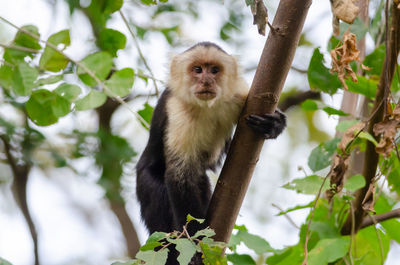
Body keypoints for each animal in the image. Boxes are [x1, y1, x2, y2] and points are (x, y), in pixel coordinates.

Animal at [136, 42, 286, 262]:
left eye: (214, 70)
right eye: (198, 70)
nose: (206, 80)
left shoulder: (240, 95)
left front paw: (275, 123)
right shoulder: (178, 111)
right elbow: (180, 176)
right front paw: (196, 241)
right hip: (145, 182)